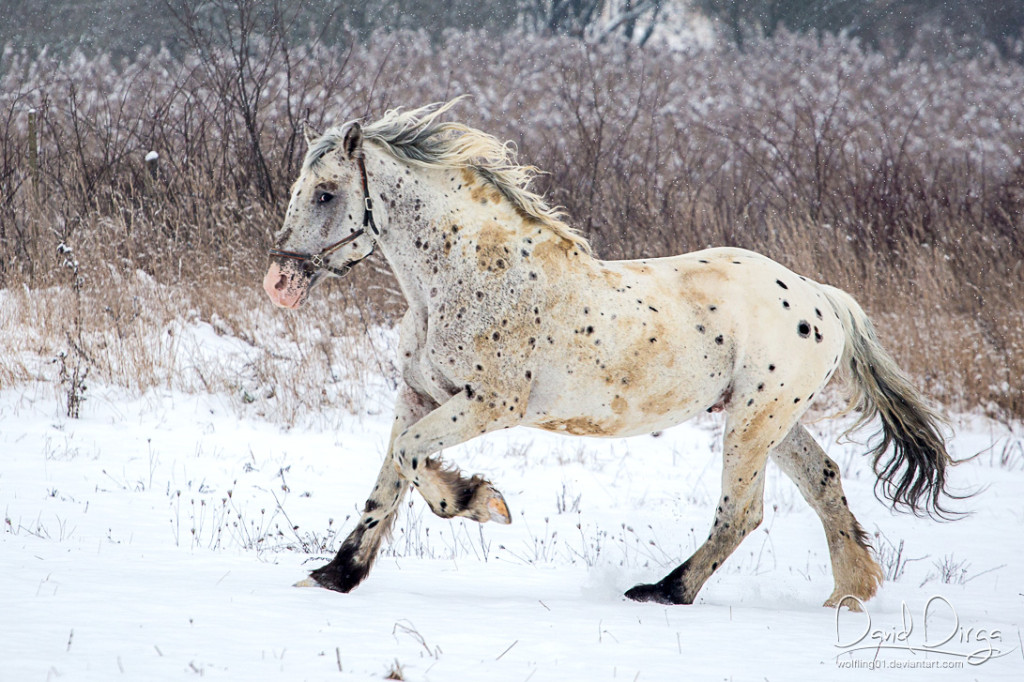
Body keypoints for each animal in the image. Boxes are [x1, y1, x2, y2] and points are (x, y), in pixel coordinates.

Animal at [262, 100, 958, 606]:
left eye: (325, 193)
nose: (278, 282)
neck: (466, 276)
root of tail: (821, 297)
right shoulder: (417, 395)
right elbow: (388, 482)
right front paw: (334, 576)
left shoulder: (488, 405)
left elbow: (414, 464)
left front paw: (484, 503)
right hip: (774, 422)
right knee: (824, 482)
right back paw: (849, 594)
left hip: (754, 422)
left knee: (742, 512)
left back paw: (664, 591)